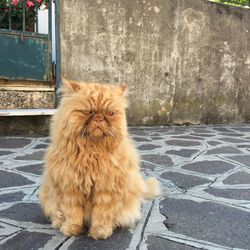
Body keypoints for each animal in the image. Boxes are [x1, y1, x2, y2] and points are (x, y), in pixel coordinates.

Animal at [39, 79, 160, 239]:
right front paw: (71, 229)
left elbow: (102, 215)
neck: (91, 152)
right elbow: (73, 215)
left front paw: (100, 232)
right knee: (57, 214)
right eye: (87, 111)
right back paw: (59, 223)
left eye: (109, 113)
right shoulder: (70, 190)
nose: (98, 117)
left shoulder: (106, 191)